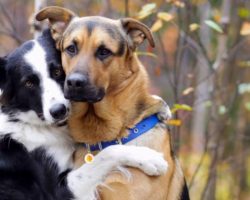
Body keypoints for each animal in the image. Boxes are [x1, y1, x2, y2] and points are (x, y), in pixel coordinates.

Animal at [0, 30, 168, 200]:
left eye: (57, 72)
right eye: (28, 83)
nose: (59, 111)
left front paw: (161, 106)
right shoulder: (59, 191)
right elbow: (107, 153)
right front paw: (149, 158)